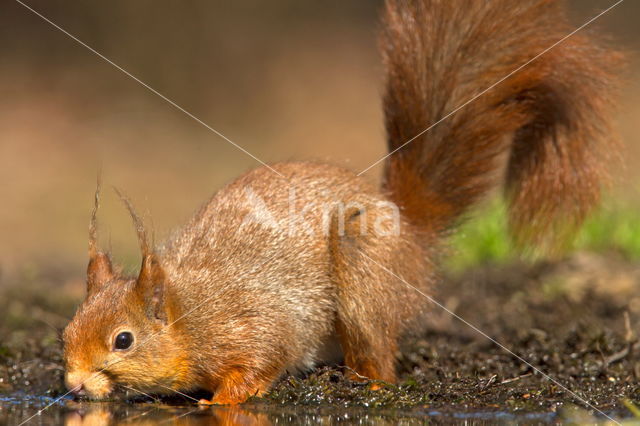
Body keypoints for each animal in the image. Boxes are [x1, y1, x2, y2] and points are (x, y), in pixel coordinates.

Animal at [61, 0, 620, 406]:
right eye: (66, 330)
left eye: (123, 340)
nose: (74, 384)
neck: (189, 314)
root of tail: (410, 231)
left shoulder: (254, 323)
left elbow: (264, 358)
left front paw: (220, 399)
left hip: (362, 268)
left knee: (379, 355)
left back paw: (364, 380)